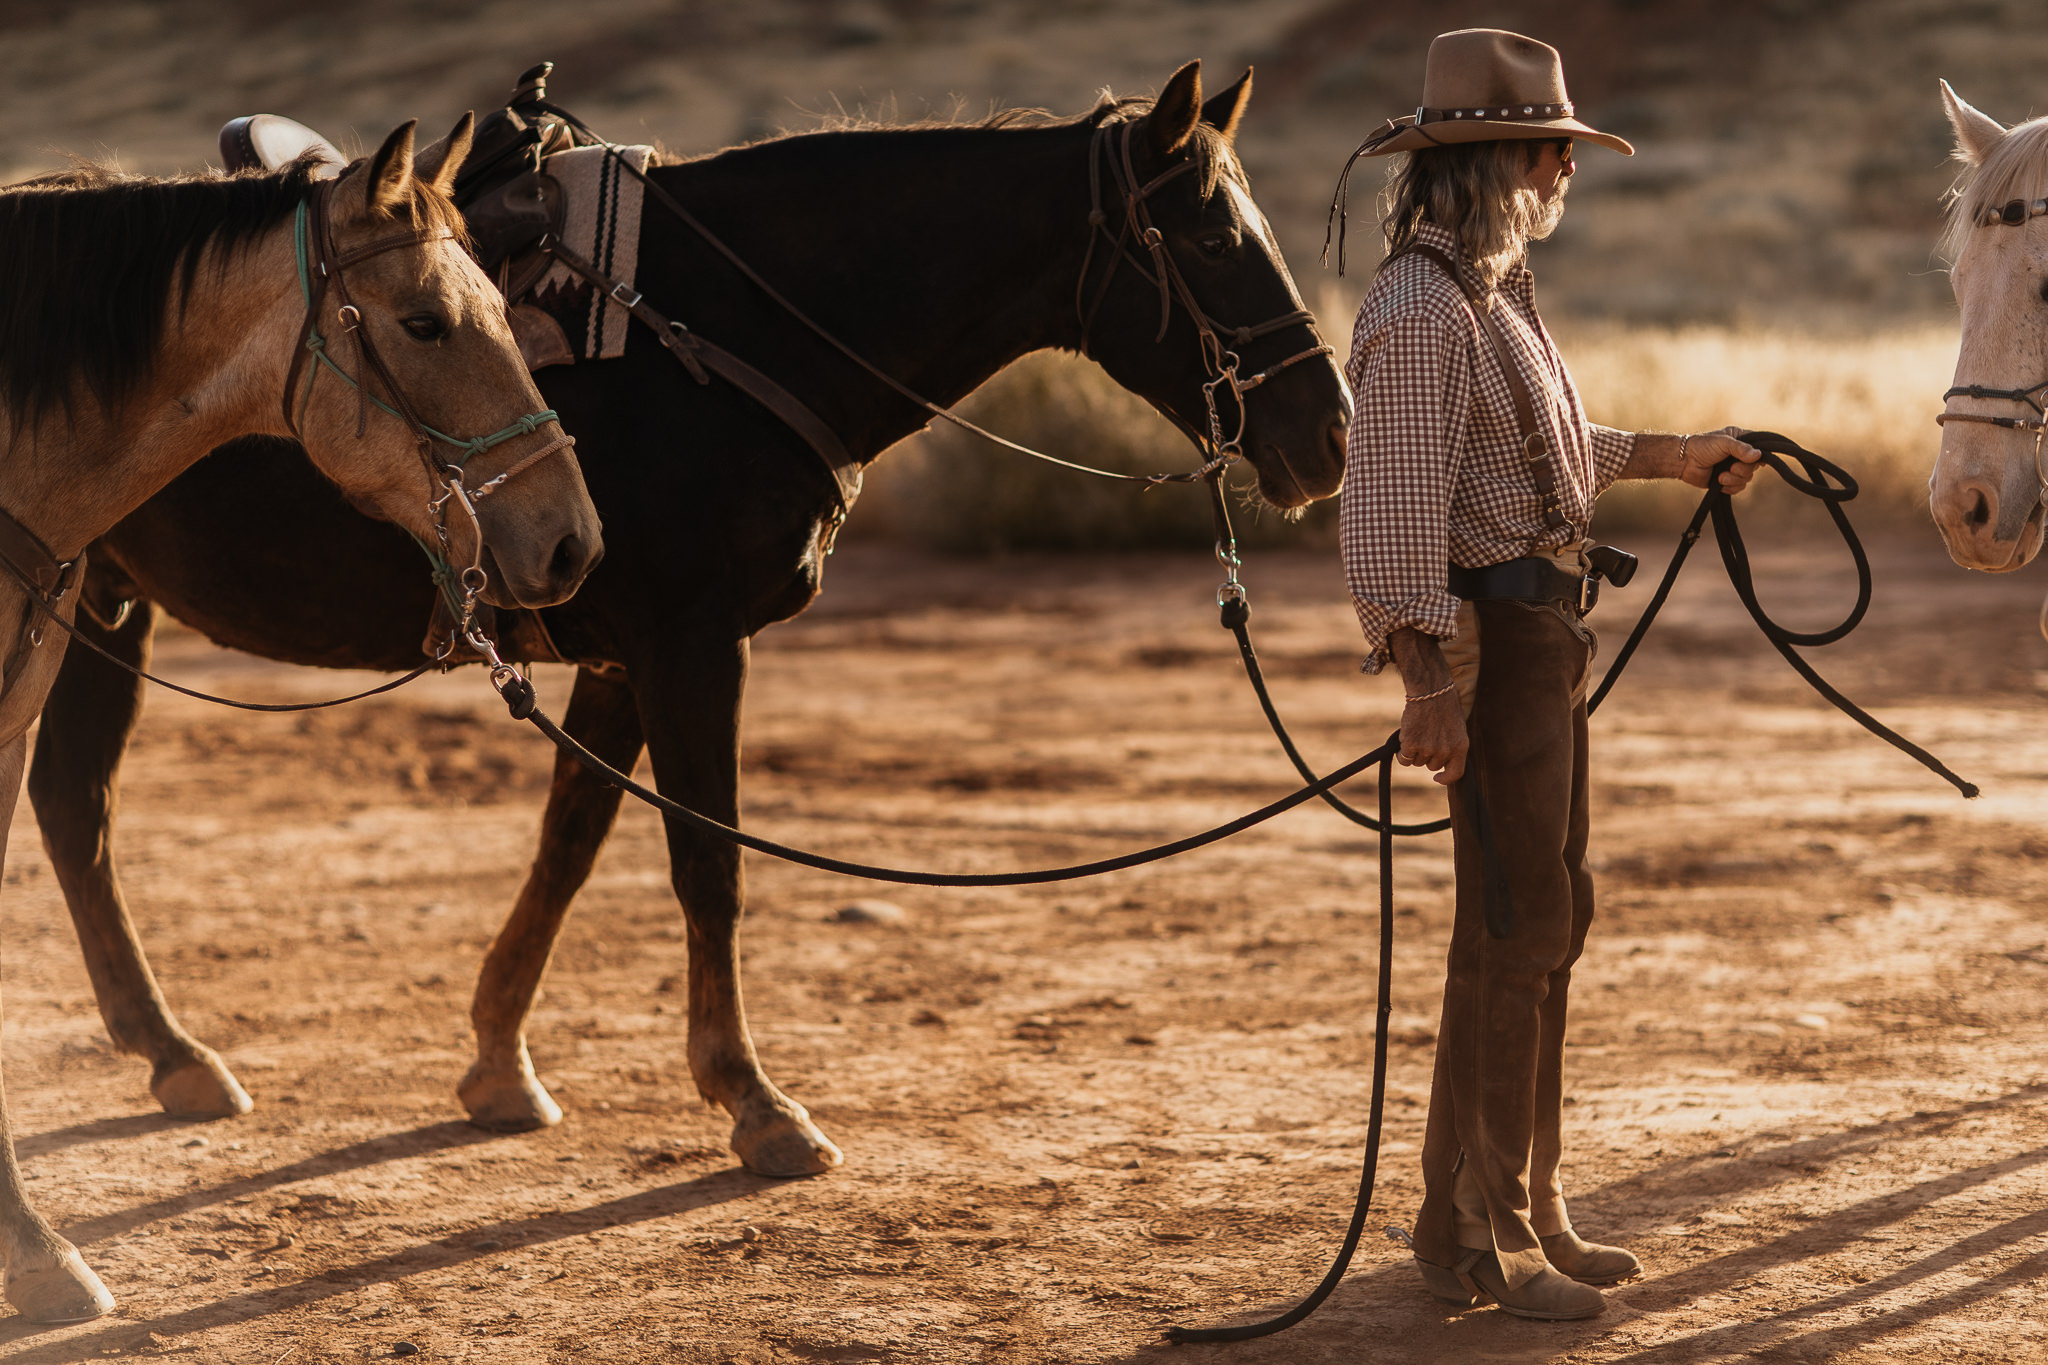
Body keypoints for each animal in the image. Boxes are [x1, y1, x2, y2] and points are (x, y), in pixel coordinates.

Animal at [32, 63, 1351, 1195]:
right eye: (1215, 240)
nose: (1329, 433)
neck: (729, 330)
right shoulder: (694, 646)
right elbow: (706, 863)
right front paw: (754, 1103)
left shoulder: (623, 658)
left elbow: (569, 845)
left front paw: (499, 1062)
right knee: (73, 804)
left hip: (101, 605)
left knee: (71, 804)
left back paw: (170, 1051)